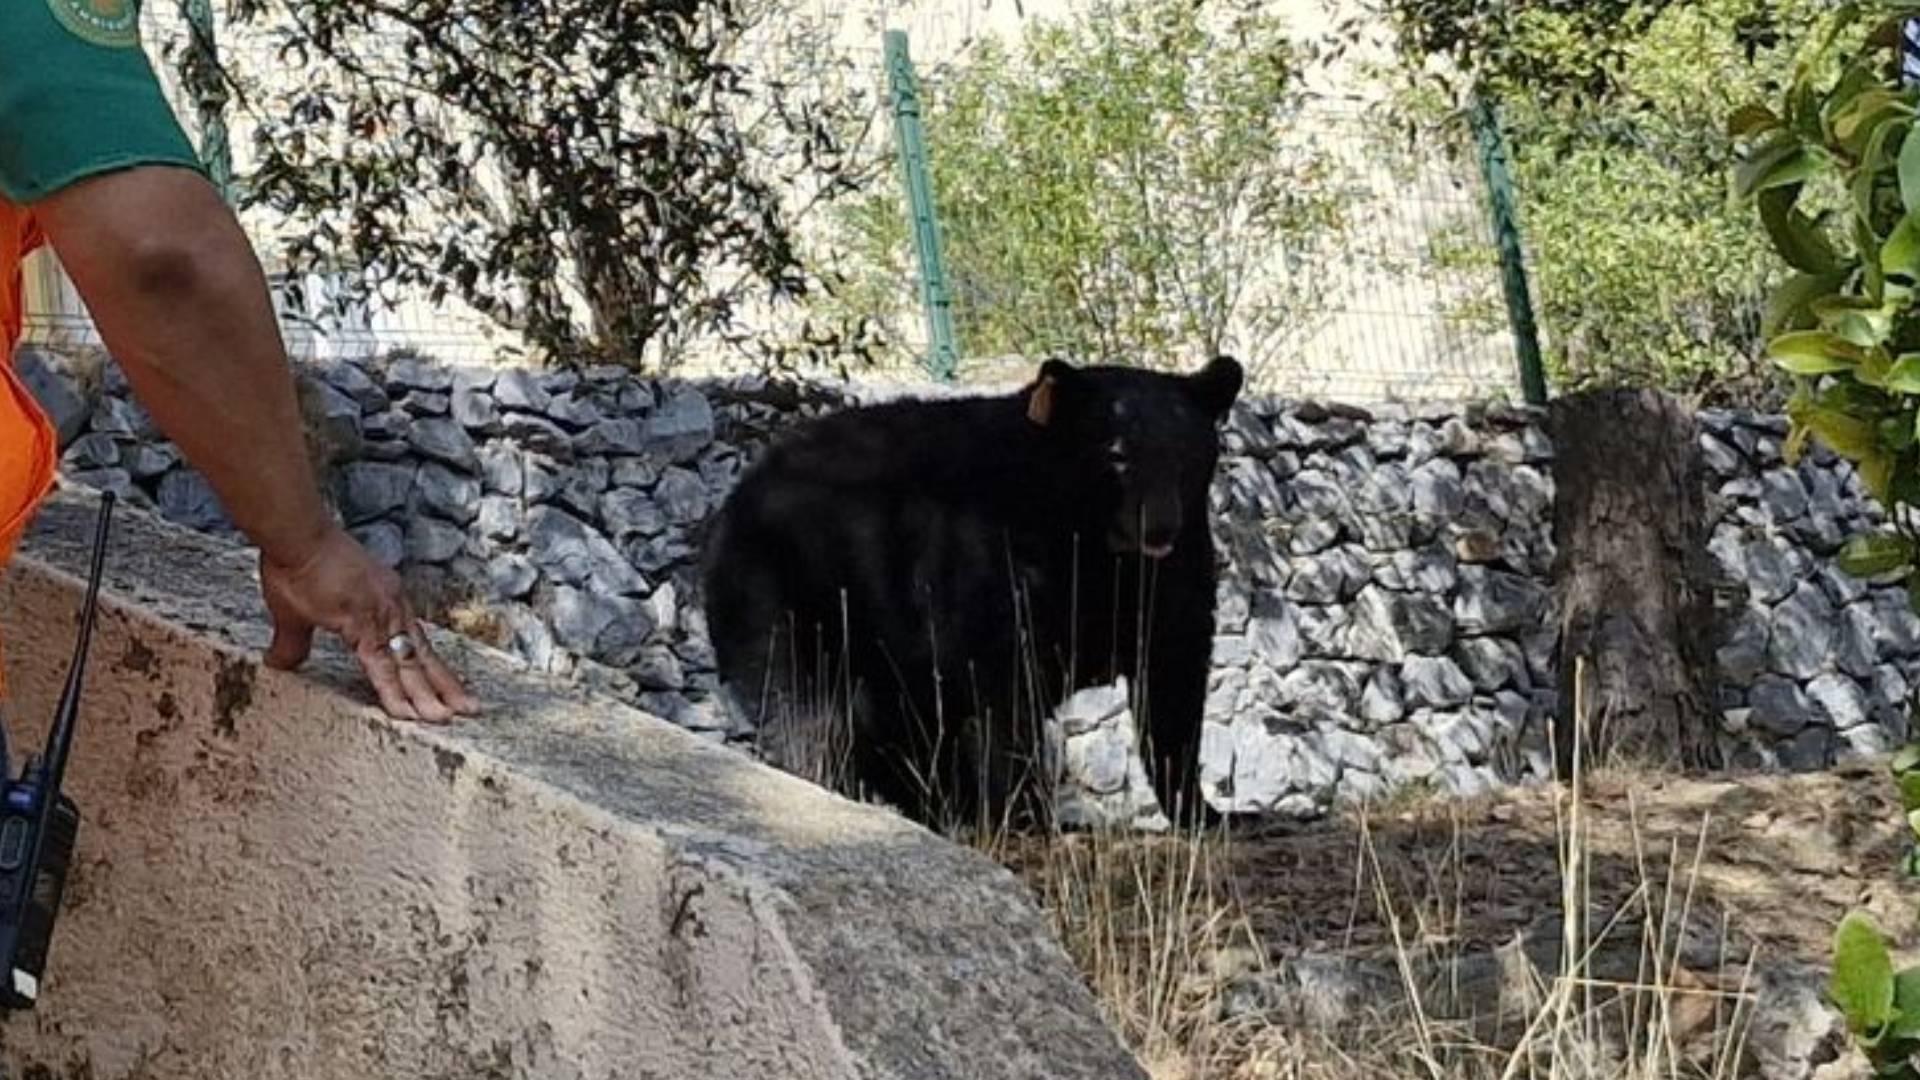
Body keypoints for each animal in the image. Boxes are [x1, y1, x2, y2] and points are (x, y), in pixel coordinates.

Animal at [700, 355, 1244, 833]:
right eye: (1117, 455)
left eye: (1186, 455)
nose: (1159, 526)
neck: (1099, 541)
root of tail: (735, 499)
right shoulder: (989, 552)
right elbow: (1007, 684)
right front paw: (1026, 815)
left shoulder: (1174, 569)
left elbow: (1173, 678)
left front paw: (1208, 814)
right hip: (794, 590)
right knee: (808, 710)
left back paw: (945, 807)